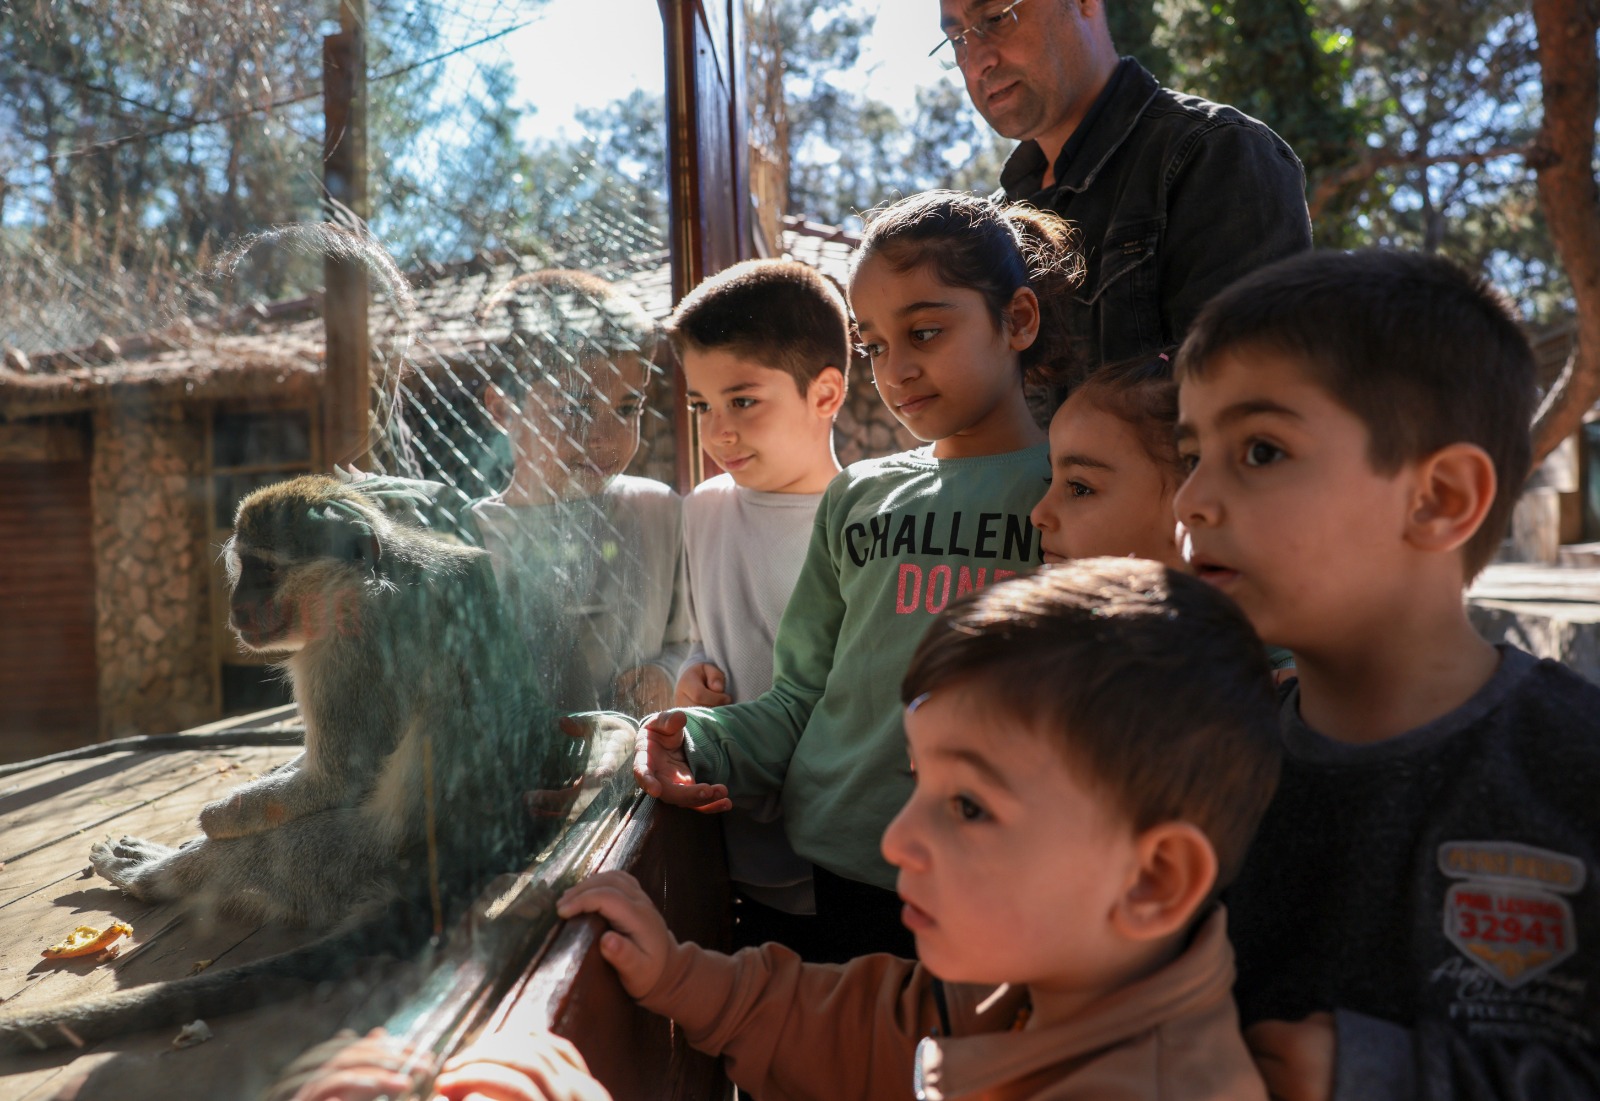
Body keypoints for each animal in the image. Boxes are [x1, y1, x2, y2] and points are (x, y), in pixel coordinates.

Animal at [0, 473, 595, 1056]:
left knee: (266, 854)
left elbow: (336, 779)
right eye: (243, 566)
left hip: (350, 862)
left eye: (263, 569)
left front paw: (214, 821)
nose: (236, 609)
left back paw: (151, 875)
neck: (379, 574)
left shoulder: (350, 649)